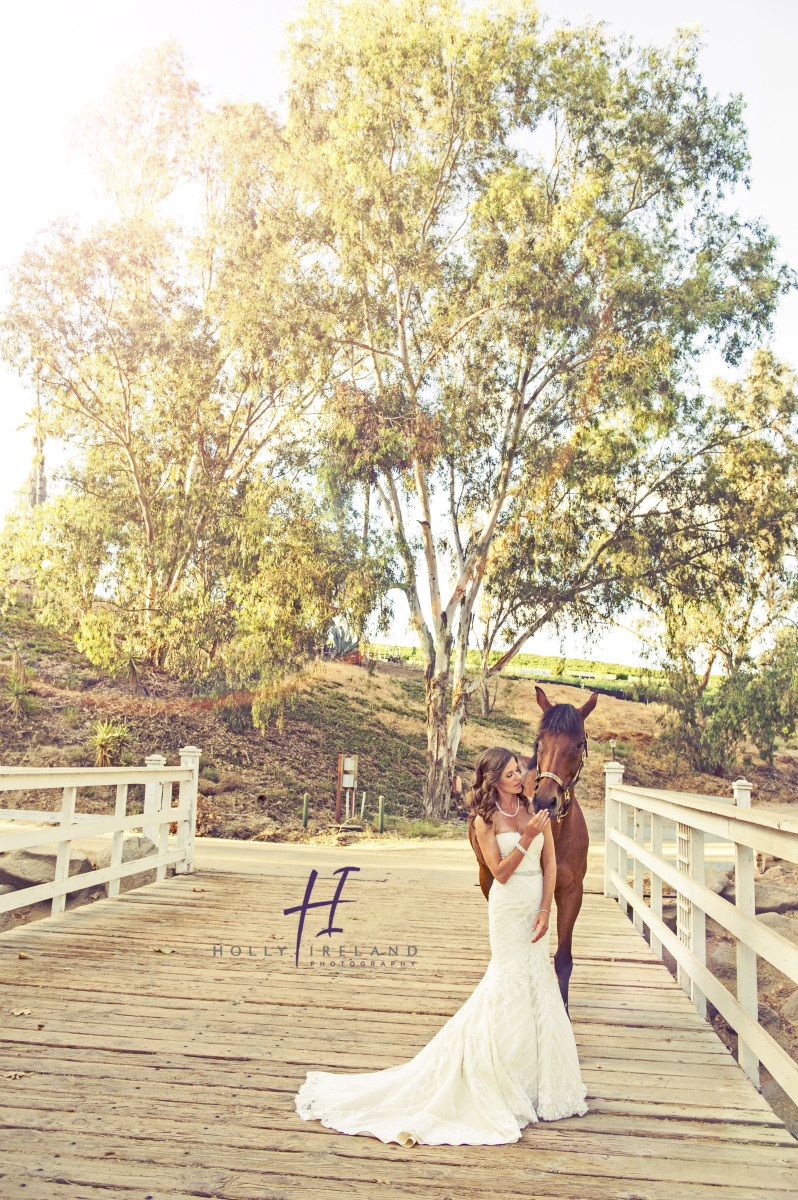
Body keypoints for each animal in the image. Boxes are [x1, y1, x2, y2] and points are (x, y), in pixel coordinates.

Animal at [470, 686, 595, 1012]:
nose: (545, 801)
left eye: (579, 743)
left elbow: (563, 958)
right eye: (540, 739)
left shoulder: (572, 891)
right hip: (486, 875)